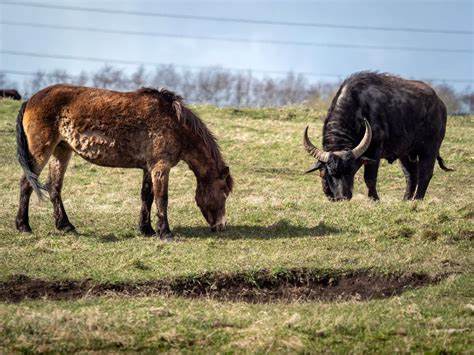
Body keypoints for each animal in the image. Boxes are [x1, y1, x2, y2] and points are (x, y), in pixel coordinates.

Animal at [15, 85, 234, 238]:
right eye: (224, 192)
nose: (221, 226)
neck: (175, 125)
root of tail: (31, 99)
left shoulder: (149, 167)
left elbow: (147, 196)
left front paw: (147, 229)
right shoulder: (160, 167)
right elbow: (162, 198)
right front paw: (165, 232)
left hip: (61, 151)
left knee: (54, 187)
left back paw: (65, 225)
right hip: (41, 151)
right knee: (27, 183)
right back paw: (23, 226)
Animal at [304, 73, 452, 200]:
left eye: (350, 170)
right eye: (331, 171)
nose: (343, 197)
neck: (358, 108)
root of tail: (440, 104)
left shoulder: (375, 151)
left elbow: (369, 178)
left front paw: (374, 198)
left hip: (430, 148)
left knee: (425, 173)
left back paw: (417, 199)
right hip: (405, 153)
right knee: (411, 175)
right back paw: (406, 199)